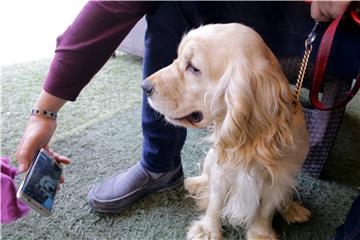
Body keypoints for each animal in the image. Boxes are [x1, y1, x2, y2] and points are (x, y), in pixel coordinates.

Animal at [142, 23, 310, 240]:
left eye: (194, 67)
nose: (145, 86)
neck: (254, 136)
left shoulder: (280, 179)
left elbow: (267, 209)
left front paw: (260, 233)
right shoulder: (221, 170)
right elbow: (215, 202)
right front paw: (208, 230)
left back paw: (292, 209)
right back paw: (195, 183)